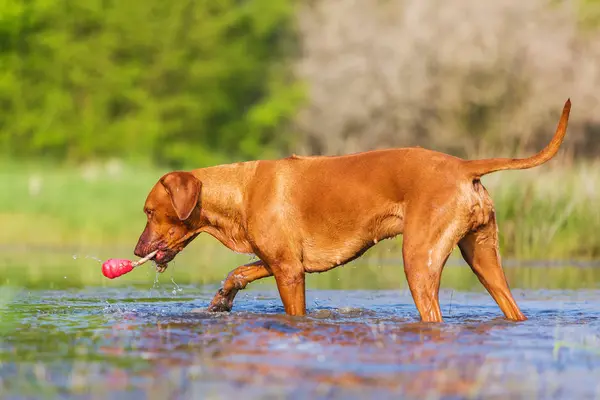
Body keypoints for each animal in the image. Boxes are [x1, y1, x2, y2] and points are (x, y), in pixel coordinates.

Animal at [135, 100, 572, 322]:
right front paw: (222, 298)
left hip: (419, 260)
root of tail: (464, 166)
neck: (241, 191)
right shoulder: (280, 259)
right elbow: (238, 271)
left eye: (149, 211)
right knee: (511, 306)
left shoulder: (290, 272)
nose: (137, 251)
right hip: (484, 259)